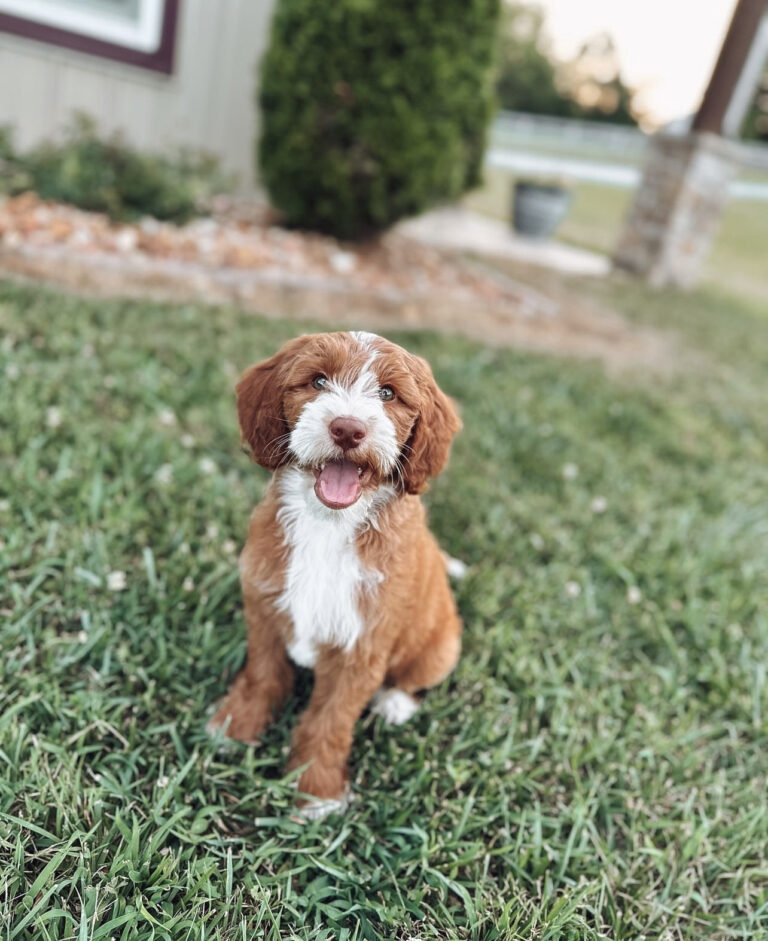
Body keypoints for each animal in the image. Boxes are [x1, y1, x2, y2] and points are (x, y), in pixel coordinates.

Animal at [207, 330, 462, 816]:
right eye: (318, 381)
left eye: (388, 394)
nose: (347, 428)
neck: (329, 524)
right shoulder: (264, 605)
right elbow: (262, 674)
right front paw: (235, 726)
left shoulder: (362, 645)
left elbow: (331, 717)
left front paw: (316, 793)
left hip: (442, 645)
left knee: (417, 677)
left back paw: (395, 703)